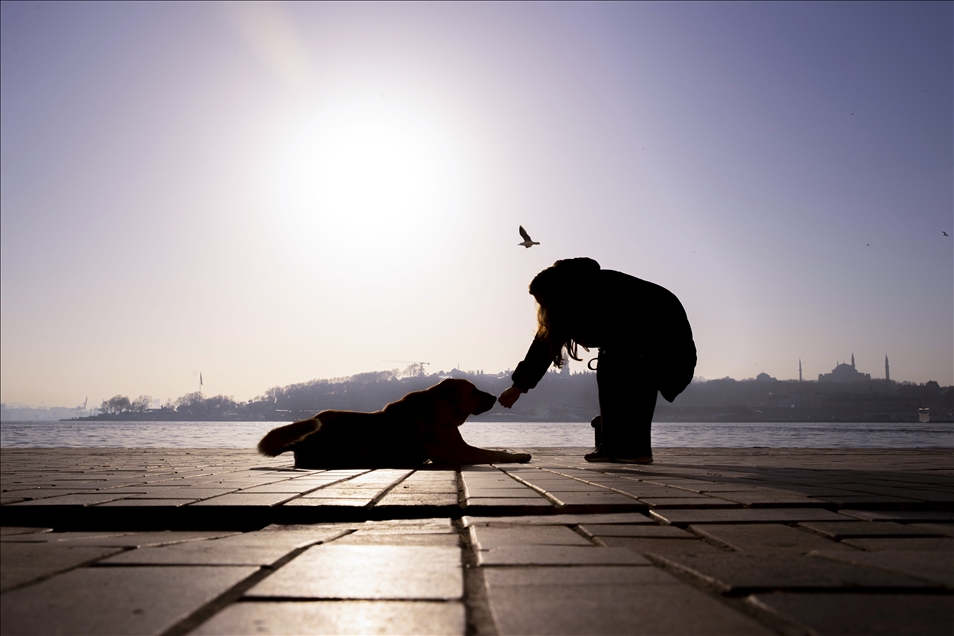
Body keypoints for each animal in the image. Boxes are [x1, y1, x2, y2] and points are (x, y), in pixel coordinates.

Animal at [256, 378, 532, 468]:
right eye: (473, 391)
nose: (495, 397)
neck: (440, 406)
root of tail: (301, 444)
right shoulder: (460, 452)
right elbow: (493, 453)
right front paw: (519, 455)